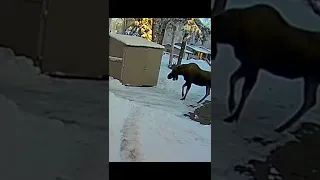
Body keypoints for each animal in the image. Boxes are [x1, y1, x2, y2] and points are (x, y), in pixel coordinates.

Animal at [212, 3, 320, 131]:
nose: (213, 54)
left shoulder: (253, 66)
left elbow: (245, 91)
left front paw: (233, 115)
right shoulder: (247, 64)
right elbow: (233, 78)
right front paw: (232, 108)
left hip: (312, 78)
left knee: (309, 101)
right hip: (311, 77)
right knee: (309, 101)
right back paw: (281, 127)